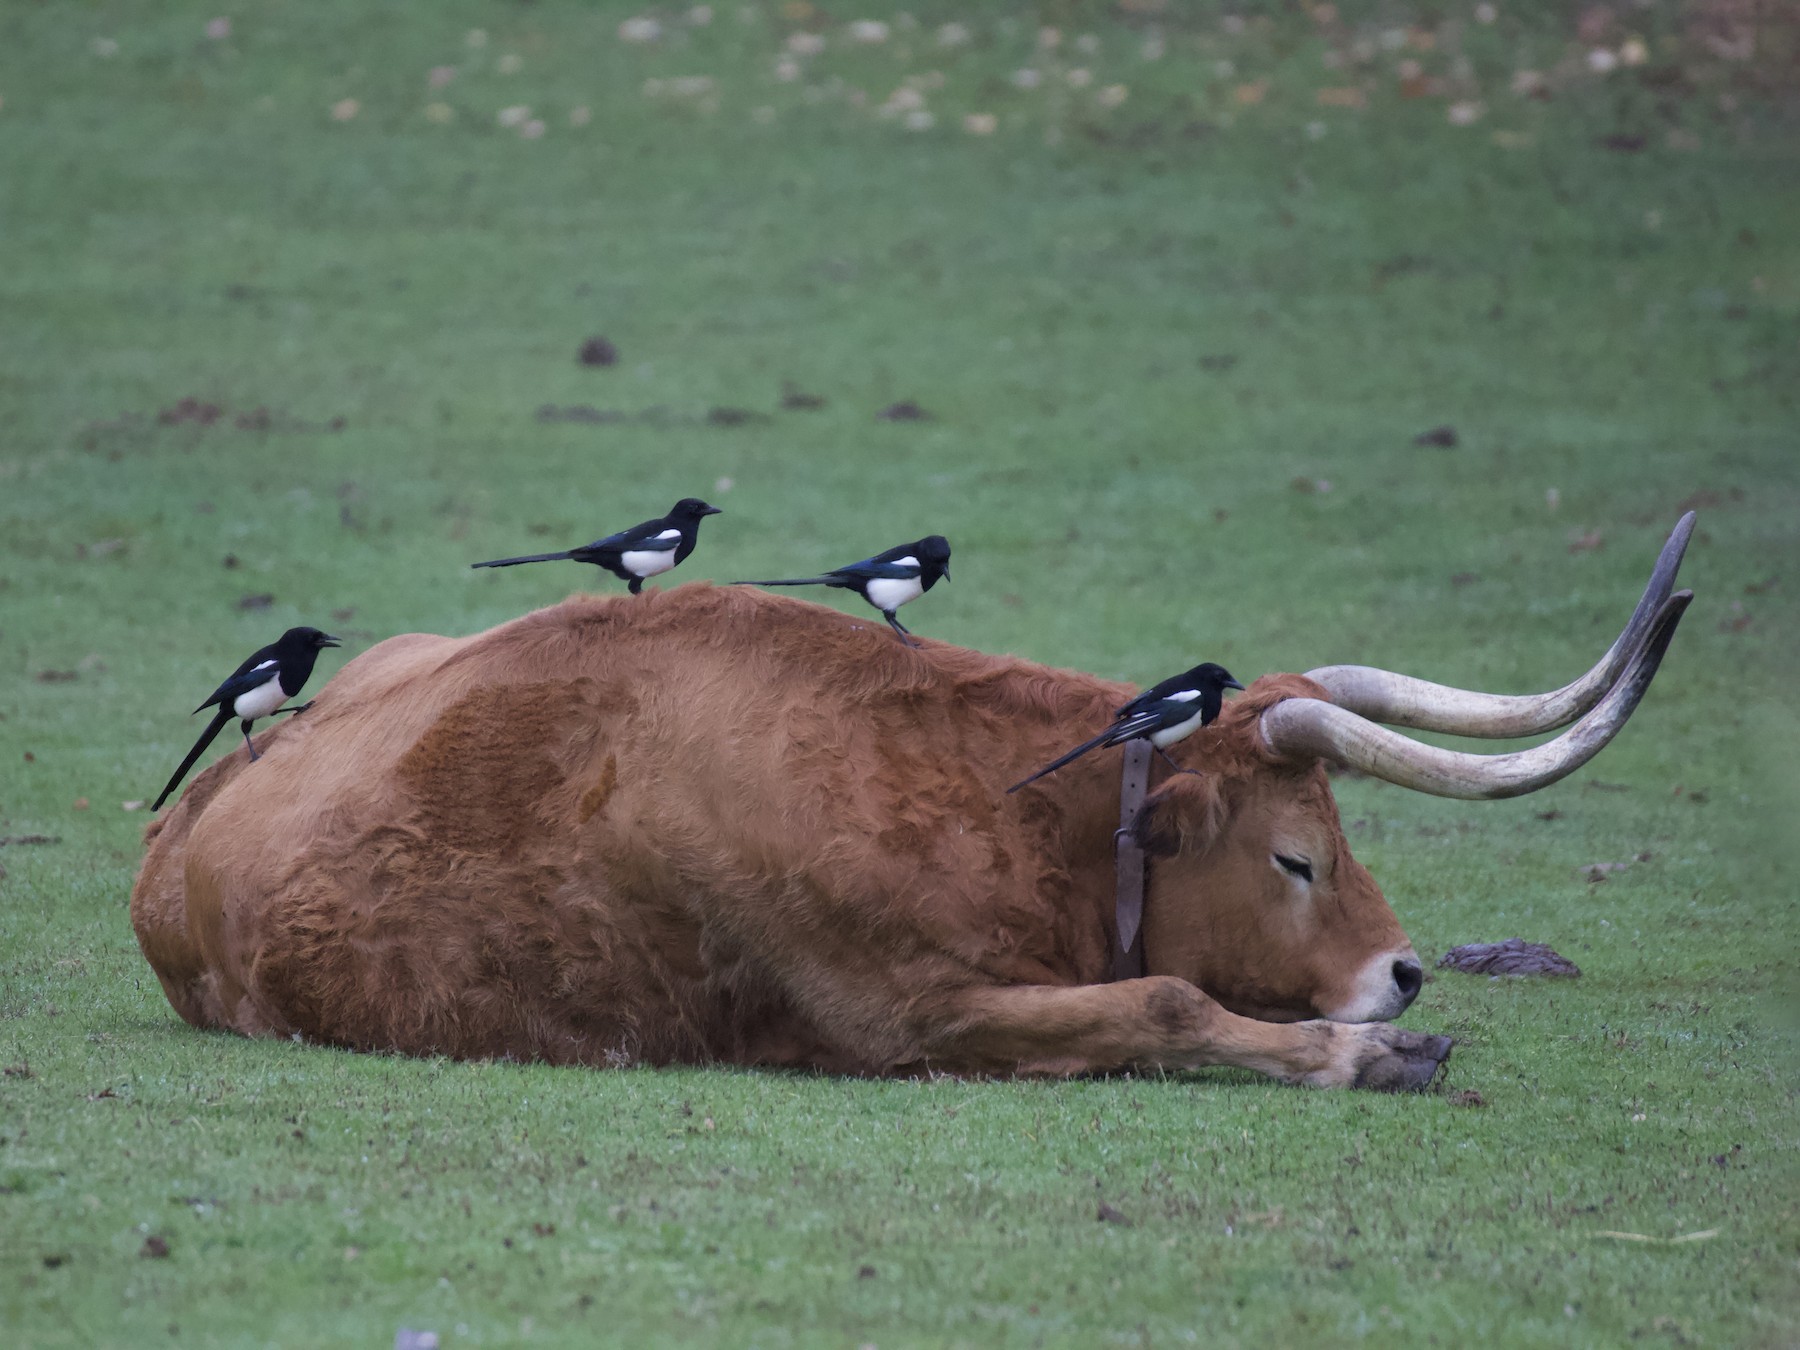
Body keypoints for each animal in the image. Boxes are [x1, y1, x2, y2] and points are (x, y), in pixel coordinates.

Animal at [133, 518, 1692, 1087]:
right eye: (1299, 857)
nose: (1406, 976)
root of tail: (175, 841)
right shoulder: (906, 1016)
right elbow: (1166, 1001)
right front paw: (1352, 1052)